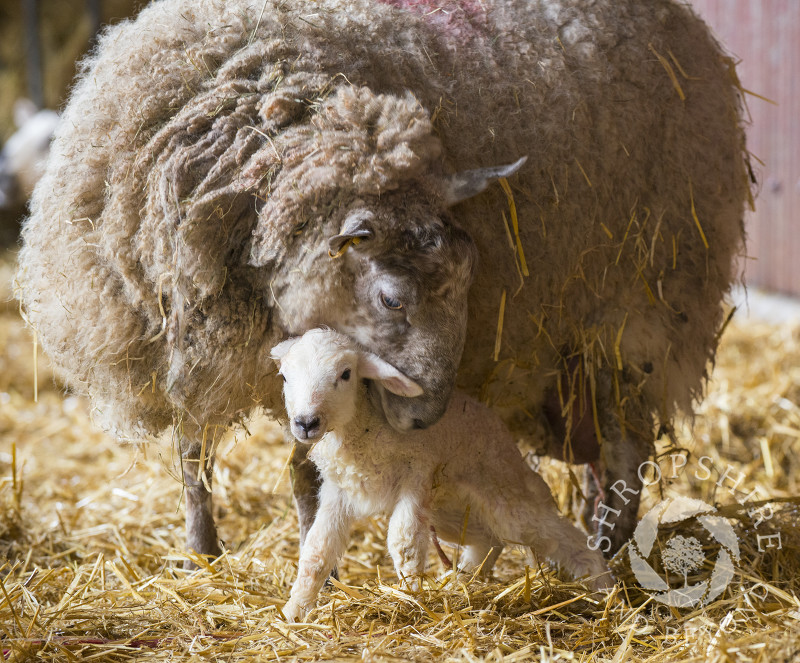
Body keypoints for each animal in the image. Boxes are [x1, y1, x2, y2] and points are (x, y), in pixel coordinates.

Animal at [14, 0, 752, 560]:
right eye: (392, 297)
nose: (427, 416)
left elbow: (300, 467)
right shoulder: (189, 349)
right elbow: (196, 457)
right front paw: (204, 552)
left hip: (647, 299)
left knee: (627, 445)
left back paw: (609, 548)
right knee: (603, 448)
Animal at [270, 330, 612, 624]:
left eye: (345, 374)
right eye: (285, 377)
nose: (306, 423)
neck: (363, 429)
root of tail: (502, 432)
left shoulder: (417, 472)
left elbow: (404, 541)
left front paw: (407, 600)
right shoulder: (338, 491)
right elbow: (317, 551)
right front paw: (295, 611)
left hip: (506, 494)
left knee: (564, 538)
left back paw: (607, 591)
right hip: (450, 508)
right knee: (489, 542)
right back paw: (459, 582)